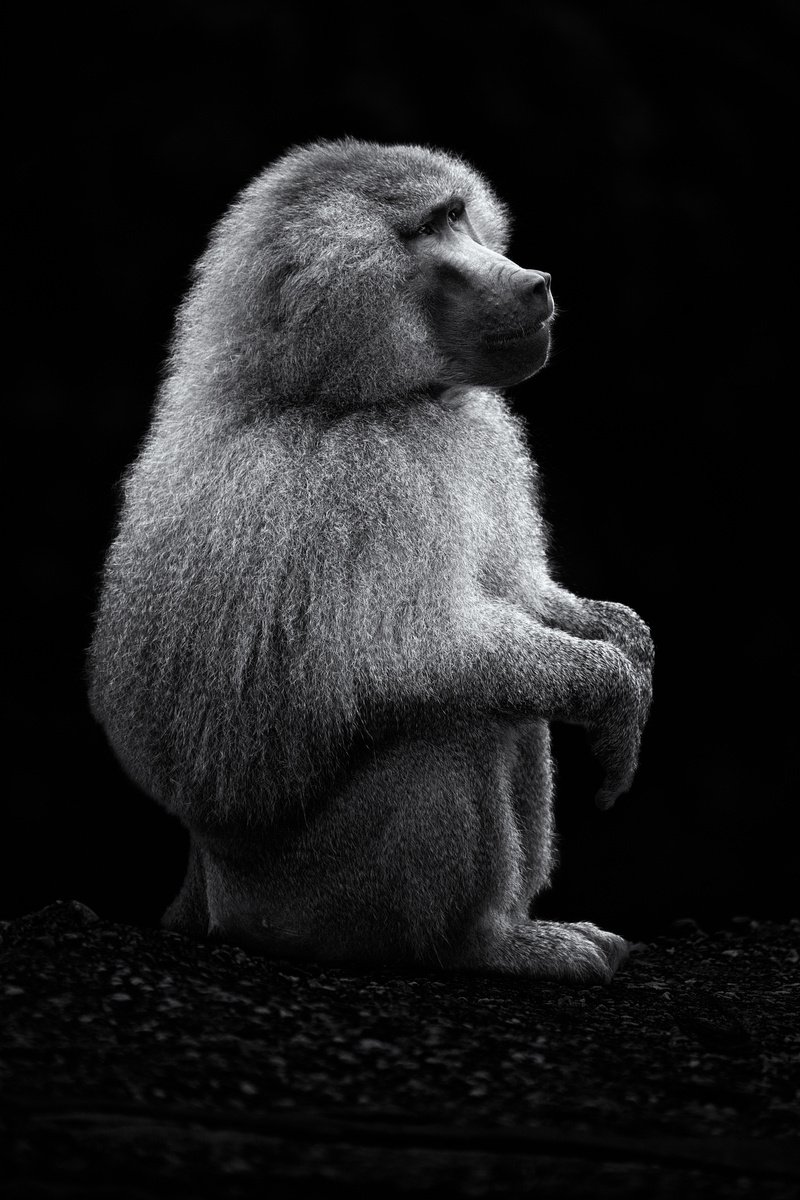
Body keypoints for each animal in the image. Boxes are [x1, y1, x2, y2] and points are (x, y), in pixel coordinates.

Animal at [88, 138, 653, 984]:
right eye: (429, 229)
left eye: (460, 215)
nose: (535, 282)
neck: (349, 392)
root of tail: (210, 891)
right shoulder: (371, 477)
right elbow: (408, 655)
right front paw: (614, 687)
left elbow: (518, 599)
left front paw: (623, 641)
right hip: (315, 903)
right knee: (459, 720)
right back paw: (489, 944)